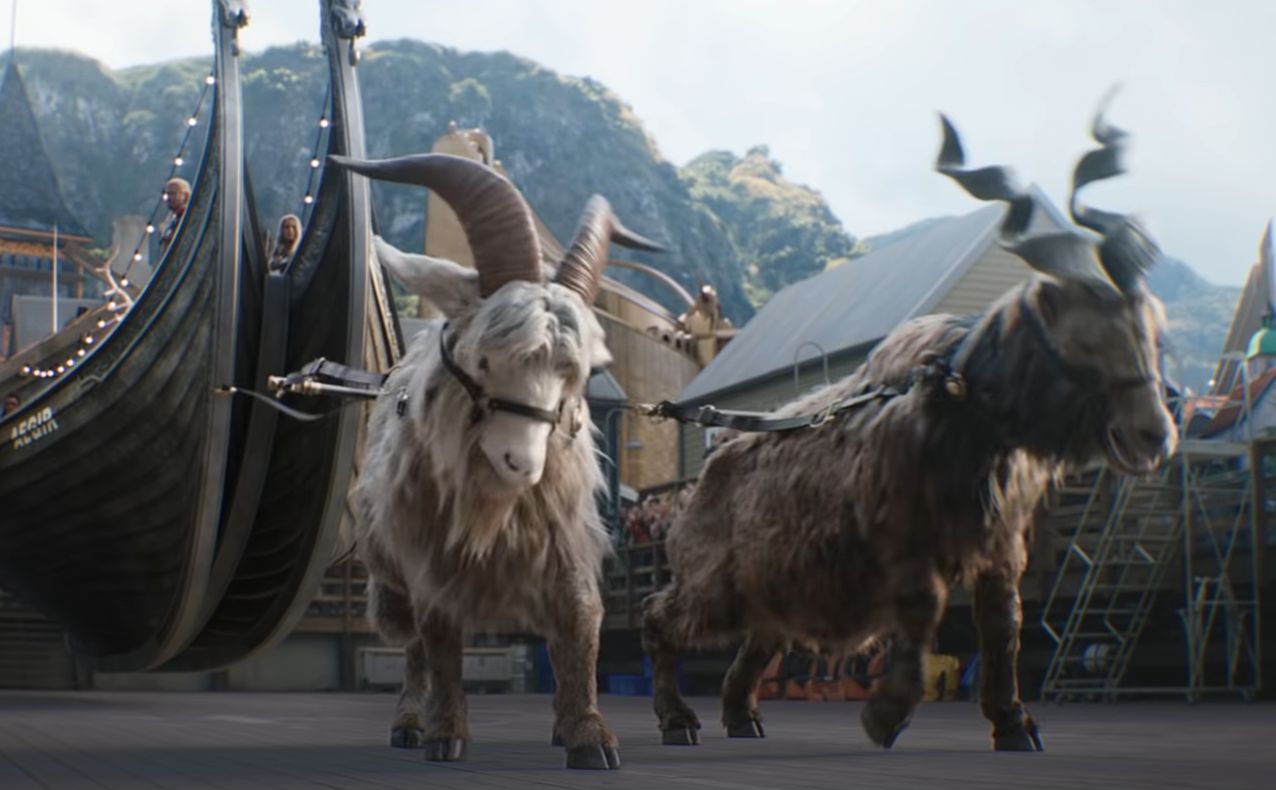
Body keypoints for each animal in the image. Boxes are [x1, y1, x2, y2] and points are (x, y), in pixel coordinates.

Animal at [648, 103, 1173, 755]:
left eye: (1151, 328)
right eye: (1084, 337)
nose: (1154, 434)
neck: (955, 400)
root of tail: (710, 466)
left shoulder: (999, 545)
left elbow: (1004, 626)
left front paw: (1013, 722)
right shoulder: (901, 541)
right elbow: (926, 609)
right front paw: (887, 713)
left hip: (770, 588)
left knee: (756, 641)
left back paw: (741, 715)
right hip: (710, 584)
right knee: (656, 616)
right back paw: (676, 718)